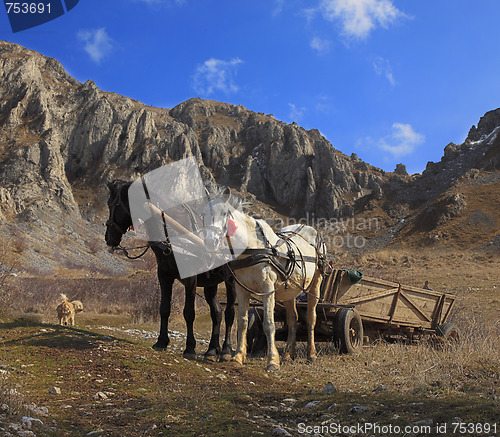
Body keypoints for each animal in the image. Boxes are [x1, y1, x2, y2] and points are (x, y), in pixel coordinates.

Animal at [104, 179, 236, 360]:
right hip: (211, 283)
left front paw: (190, 348)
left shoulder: (191, 278)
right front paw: (161, 342)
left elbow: (189, 312)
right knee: (217, 312)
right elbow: (164, 308)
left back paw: (226, 350)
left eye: (112, 204)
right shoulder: (164, 275)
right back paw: (212, 349)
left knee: (230, 312)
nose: (108, 238)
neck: (172, 232)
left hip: (231, 280)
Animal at [199, 192, 320, 370]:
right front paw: (237, 357)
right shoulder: (242, 289)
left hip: (315, 285)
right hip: (289, 291)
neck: (252, 248)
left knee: (311, 318)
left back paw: (311, 355)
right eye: (203, 215)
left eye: (225, 213)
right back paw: (288, 355)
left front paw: (272, 361)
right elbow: (242, 322)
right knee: (293, 319)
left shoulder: (268, 289)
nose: (210, 241)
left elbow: (269, 324)